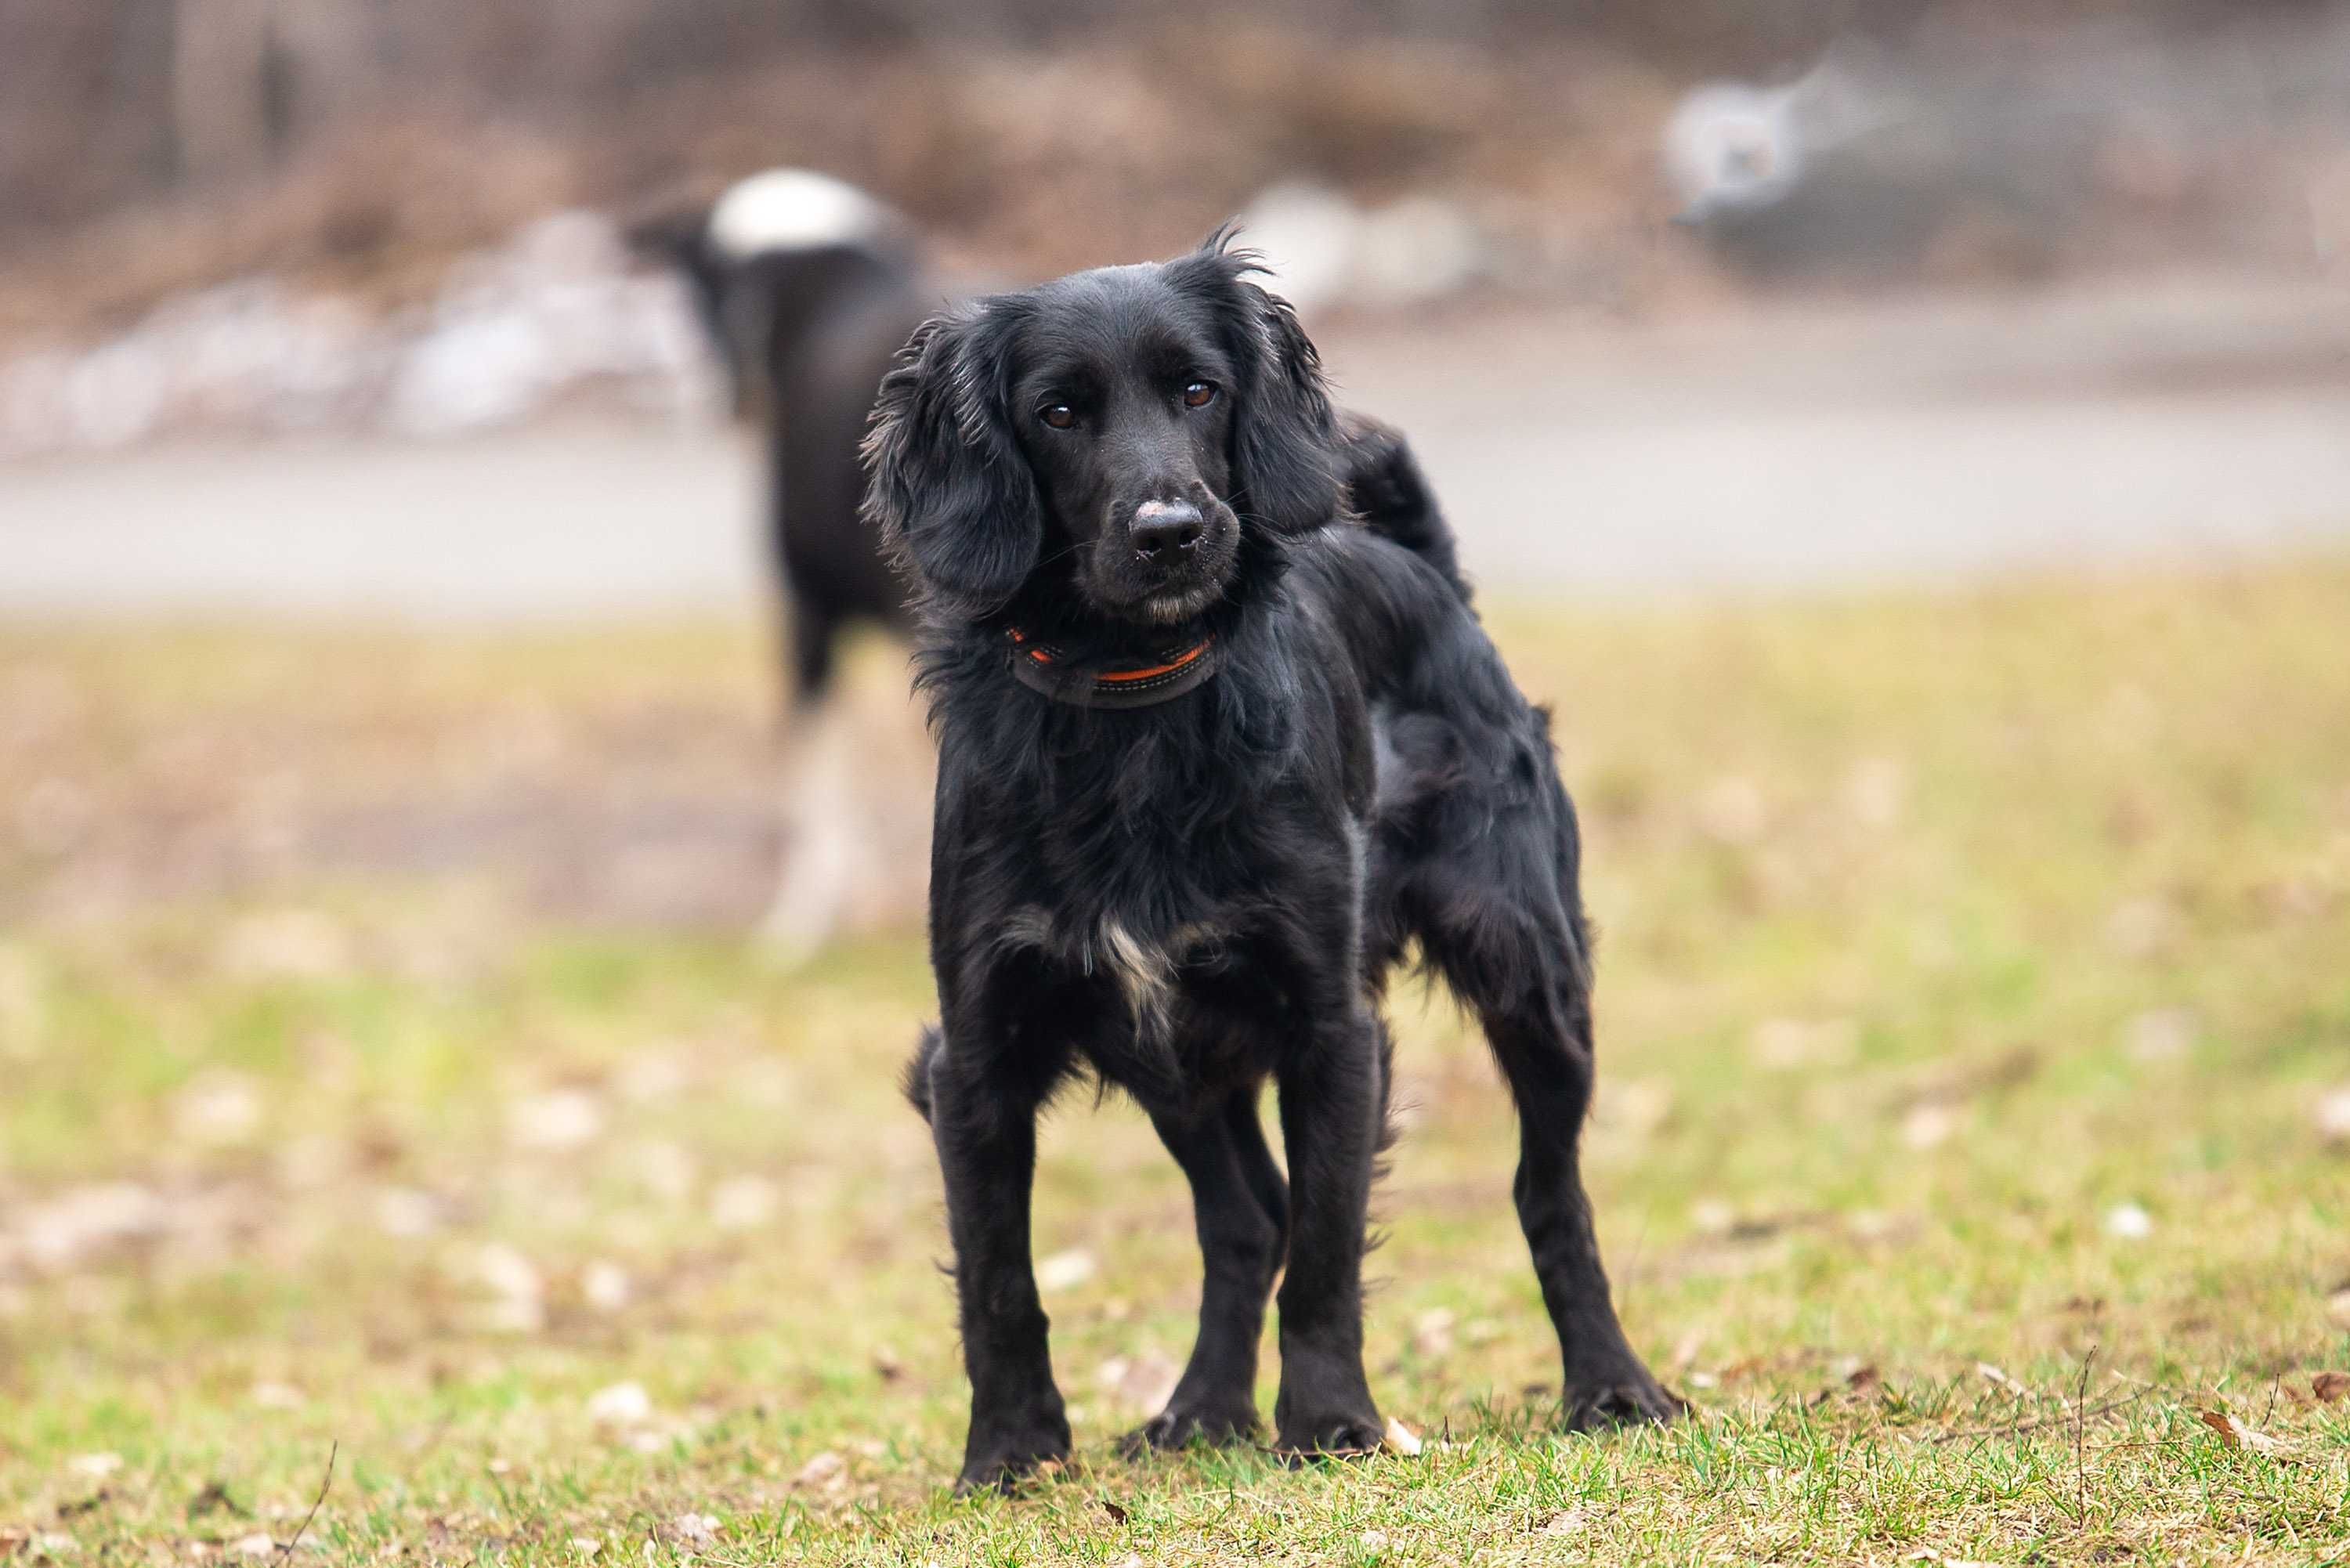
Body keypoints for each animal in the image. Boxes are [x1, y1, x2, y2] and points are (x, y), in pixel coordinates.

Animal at [874, 236, 1683, 1494]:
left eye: (1199, 390)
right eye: (1058, 412)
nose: (1171, 529)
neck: (1134, 708)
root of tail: (1418, 564)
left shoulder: (1330, 1027)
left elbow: (1329, 1246)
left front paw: (1334, 1421)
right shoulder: (977, 1051)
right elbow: (1003, 1279)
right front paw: (1009, 1454)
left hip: (1529, 970)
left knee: (1547, 1192)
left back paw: (1611, 1386)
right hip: (1177, 1064)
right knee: (1246, 1215)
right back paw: (1201, 1408)